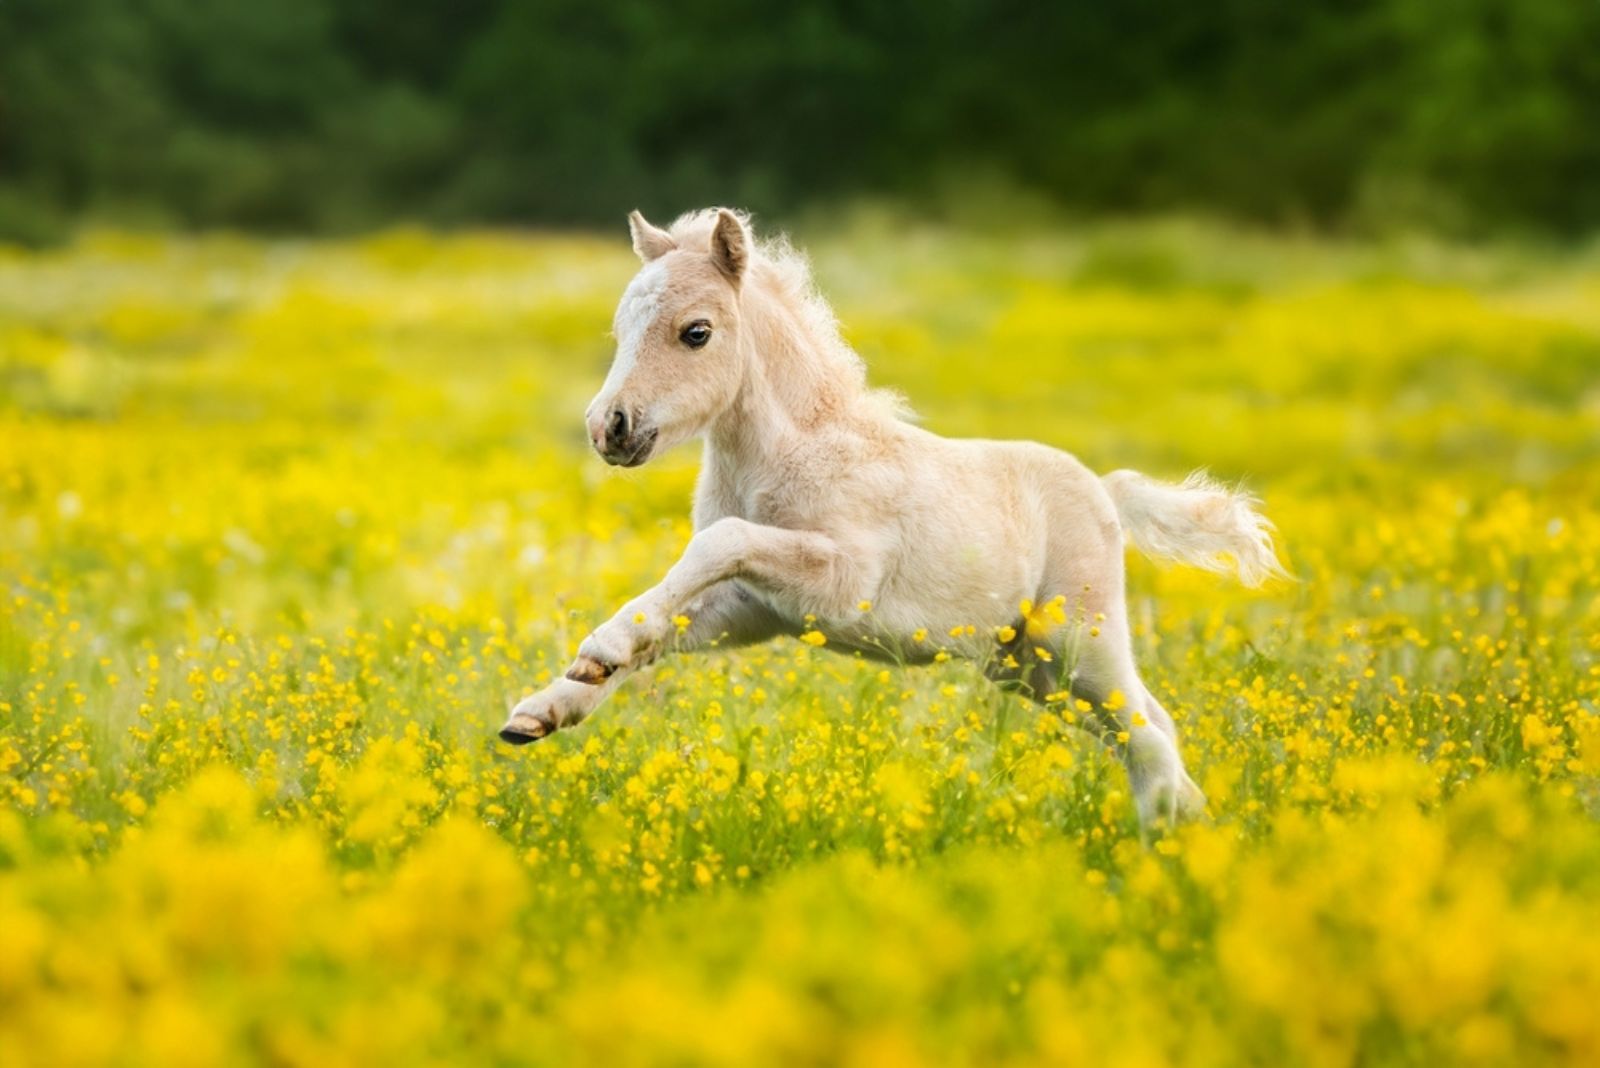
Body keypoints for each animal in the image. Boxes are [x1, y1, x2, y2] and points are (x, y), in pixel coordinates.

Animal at [499, 207, 1286, 824]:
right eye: (620, 328)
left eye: (697, 332)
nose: (611, 428)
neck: (796, 451)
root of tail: (1105, 491)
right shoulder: (755, 609)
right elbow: (667, 620)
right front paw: (549, 705)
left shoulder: (842, 582)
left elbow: (719, 541)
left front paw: (597, 649)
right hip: (1028, 669)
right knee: (1145, 732)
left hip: (1077, 643)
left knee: (1148, 733)